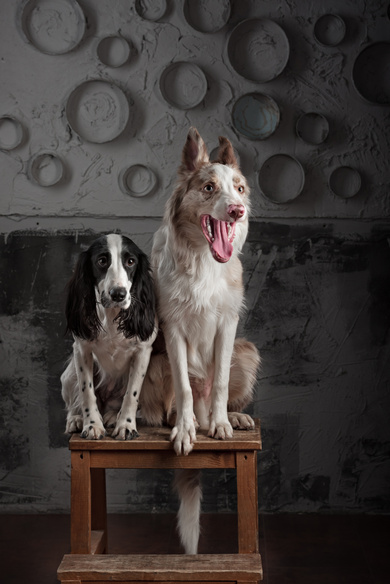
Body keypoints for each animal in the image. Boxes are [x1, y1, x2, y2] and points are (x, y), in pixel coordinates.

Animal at [60, 233, 157, 438]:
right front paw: (92, 425)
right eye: (102, 261)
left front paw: (126, 425)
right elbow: (86, 392)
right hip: (69, 373)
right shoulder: (81, 350)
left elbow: (131, 394)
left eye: (130, 261)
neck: (112, 317)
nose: (118, 294)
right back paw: (77, 419)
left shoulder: (143, 351)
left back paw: (112, 416)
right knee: (74, 402)